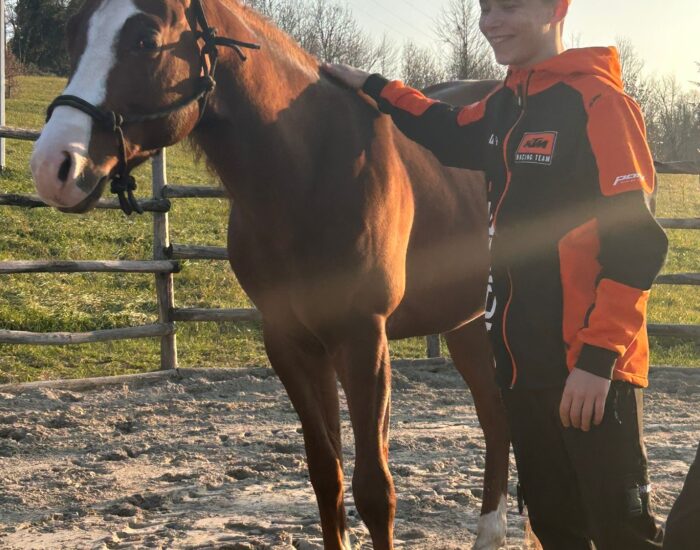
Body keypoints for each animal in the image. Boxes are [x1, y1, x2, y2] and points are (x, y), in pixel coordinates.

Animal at [29, 1, 510, 548]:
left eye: (146, 41)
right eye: (71, 34)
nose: (53, 166)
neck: (309, 168)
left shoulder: (363, 338)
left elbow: (374, 488)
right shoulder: (292, 342)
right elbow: (326, 474)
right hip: (468, 325)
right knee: (496, 419)